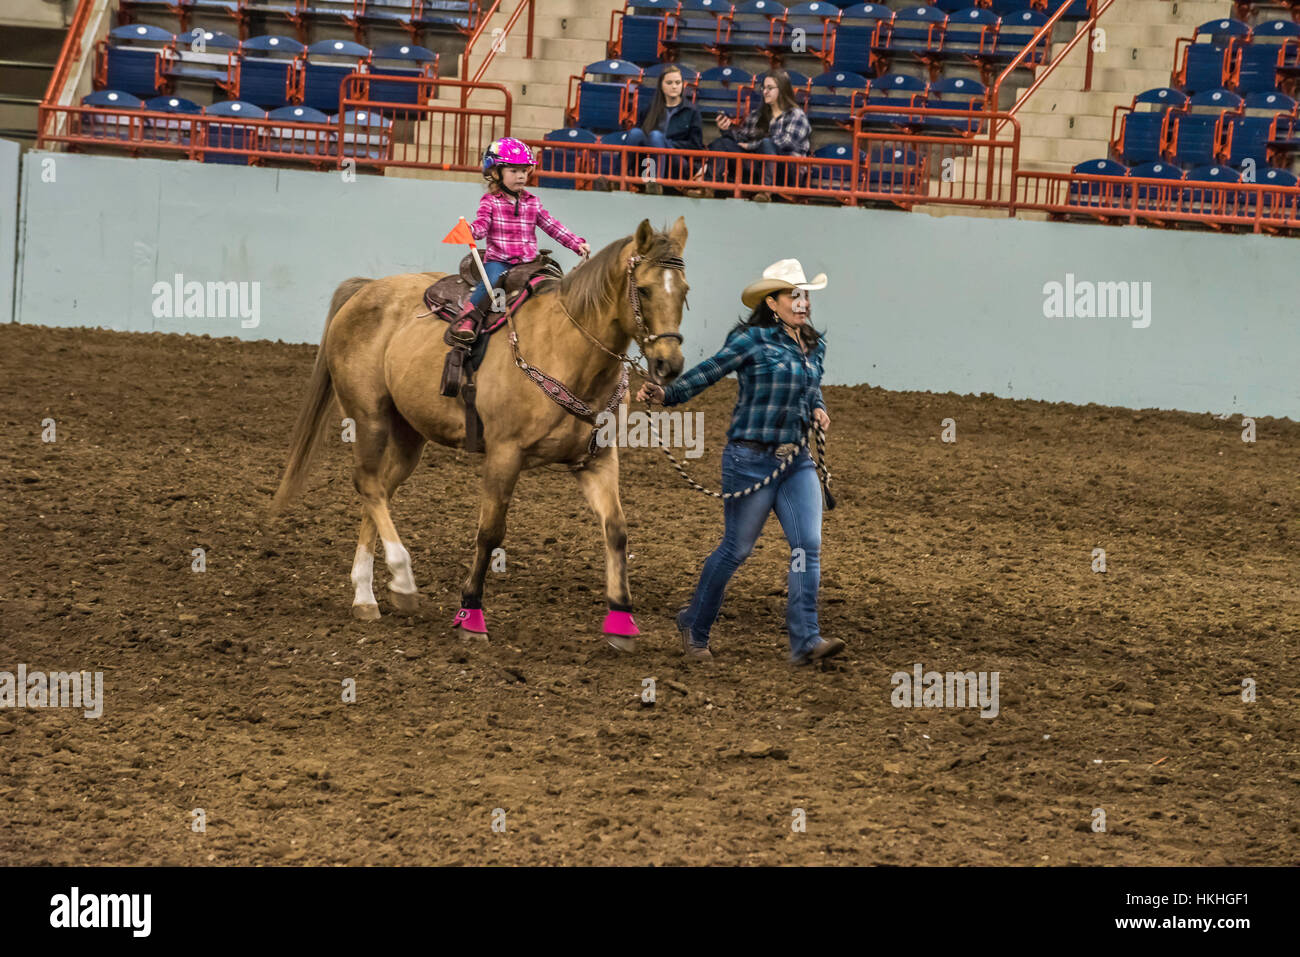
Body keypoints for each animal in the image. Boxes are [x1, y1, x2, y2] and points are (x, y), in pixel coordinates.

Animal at [271, 217, 691, 650]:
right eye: (644, 289)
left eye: (685, 291)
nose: (669, 365)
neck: (565, 348)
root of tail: (367, 289)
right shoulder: (504, 455)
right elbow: (489, 533)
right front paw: (470, 615)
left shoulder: (597, 460)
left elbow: (617, 530)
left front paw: (621, 620)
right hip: (369, 417)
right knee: (368, 484)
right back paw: (402, 581)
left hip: (410, 434)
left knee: (380, 491)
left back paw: (366, 594)